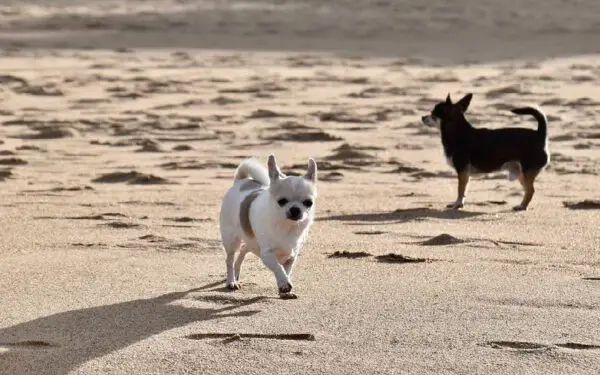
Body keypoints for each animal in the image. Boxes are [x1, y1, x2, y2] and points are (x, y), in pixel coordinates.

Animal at [217, 153, 316, 300]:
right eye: (282, 201)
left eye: (308, 203)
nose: (295, 209)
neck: (287, 227)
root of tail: (241, 182)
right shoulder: (267, 254)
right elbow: (277, 267)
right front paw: (284, 284)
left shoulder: (291, 257)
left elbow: (286, 271)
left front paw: (284, 290)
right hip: (231, 240)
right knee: (229, 259)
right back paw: (231, 281)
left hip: (251, 241)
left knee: (243, 250)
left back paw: (237, 272)